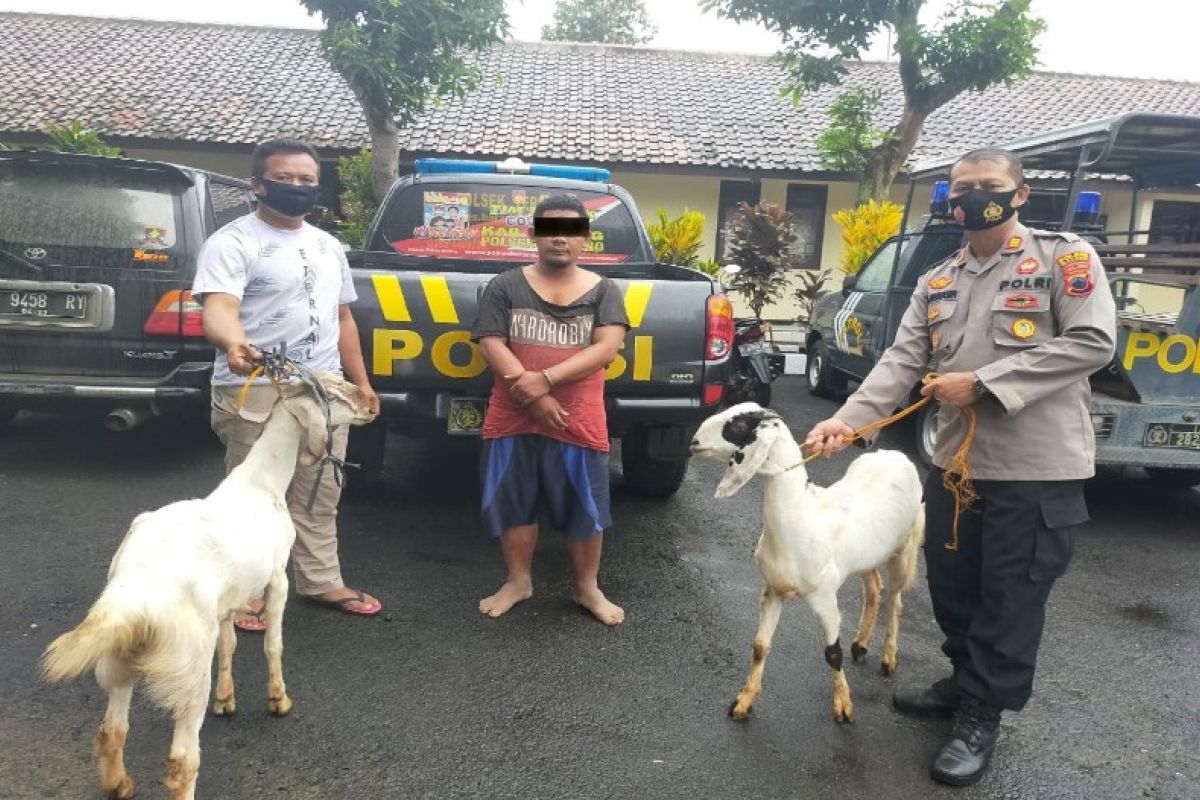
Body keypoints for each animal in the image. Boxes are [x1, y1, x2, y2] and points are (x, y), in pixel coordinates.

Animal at [691, 402, 921, 724]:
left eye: (738, 426)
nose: (694, 442)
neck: (803, 515)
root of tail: (894, 454)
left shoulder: (825, 597)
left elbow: (832, 653)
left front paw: (843, 707)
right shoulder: (773, 590)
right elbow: (760, 647)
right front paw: (743, 702)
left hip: (906, 547)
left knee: (895, 601)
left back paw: (889, 658)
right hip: (867, 556)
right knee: (874, 588)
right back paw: (861, 644)